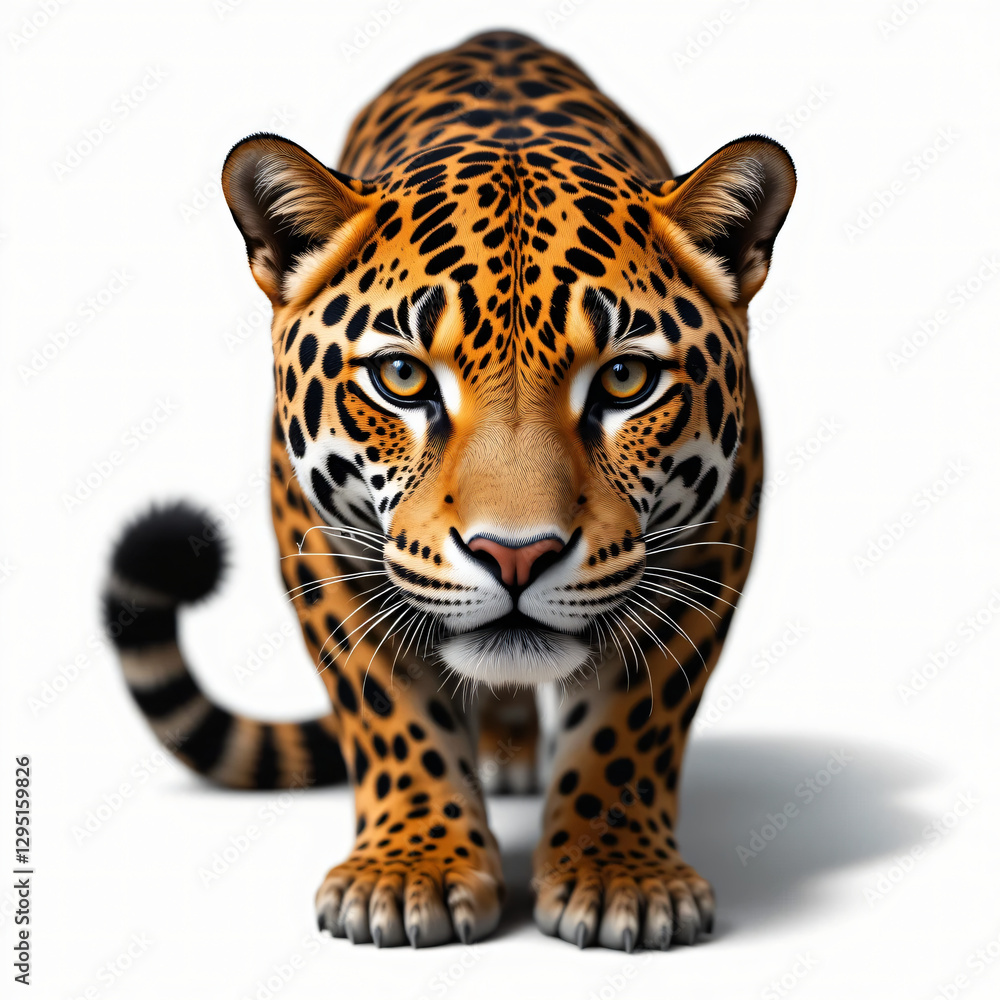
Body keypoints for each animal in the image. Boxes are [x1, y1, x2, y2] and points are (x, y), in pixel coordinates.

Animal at [103, 29, 795, 952]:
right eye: (401, 377)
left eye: (625, 380)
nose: (516, 556)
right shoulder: (322, 545)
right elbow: (388, 706)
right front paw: (411, 872)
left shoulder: (711, 544)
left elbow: (632, 723)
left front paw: (620, 878)